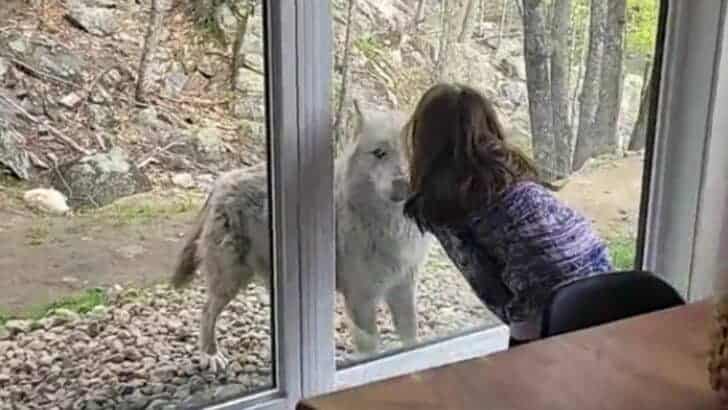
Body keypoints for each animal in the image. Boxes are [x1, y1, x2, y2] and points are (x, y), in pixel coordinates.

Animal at [171, 101, 433, 371]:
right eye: (380, 153)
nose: (403, 184)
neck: (391, 226)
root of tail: (223, 179)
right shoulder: (361, 298)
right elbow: (371, 349)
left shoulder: (403, 290)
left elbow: (411, 339)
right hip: (230, 280)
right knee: (206, 312)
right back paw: (210, 354)